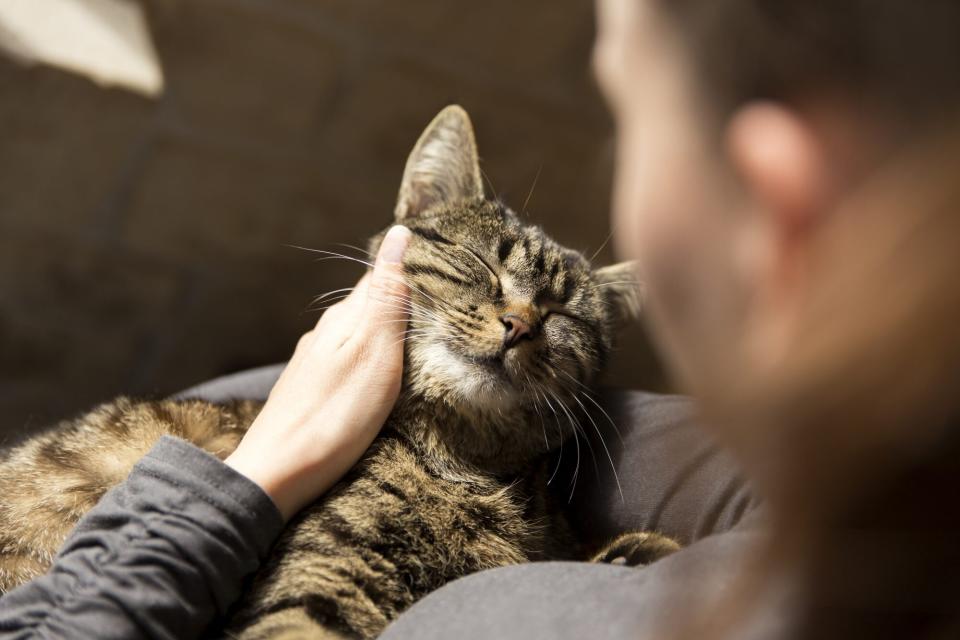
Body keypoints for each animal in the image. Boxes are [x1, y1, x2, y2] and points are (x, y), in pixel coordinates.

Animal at [0, 106, 680, 640]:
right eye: (479, 261)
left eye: (563, 314)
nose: (519, 324)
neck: (464, 464)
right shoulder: (322, 576)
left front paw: (635, 556)